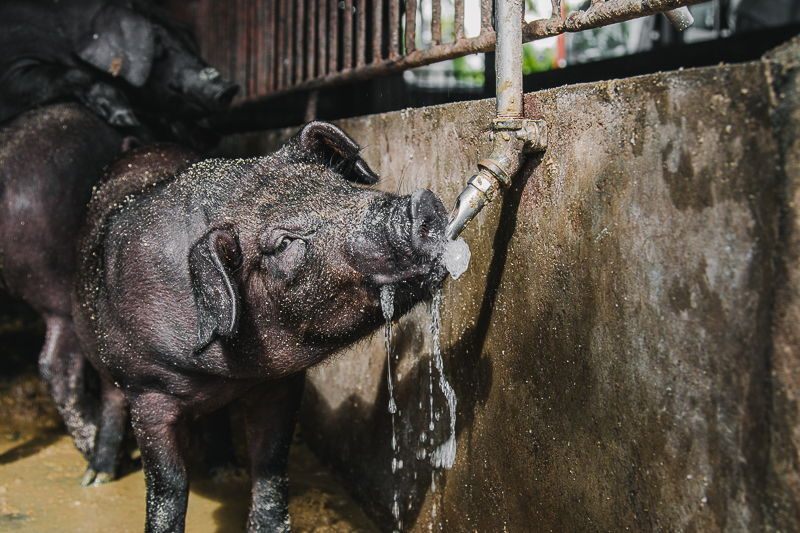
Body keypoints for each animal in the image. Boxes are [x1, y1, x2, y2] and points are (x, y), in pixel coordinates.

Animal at [72, 121, 446, 532]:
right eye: (283, 243)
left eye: (341, 186)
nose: (422, 205)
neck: (223, 372)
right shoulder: (148, 391)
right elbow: (169, 485)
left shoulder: (280, 383)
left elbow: (270, 465)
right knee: (110, 401)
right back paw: (95, 478)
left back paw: (225, 472)